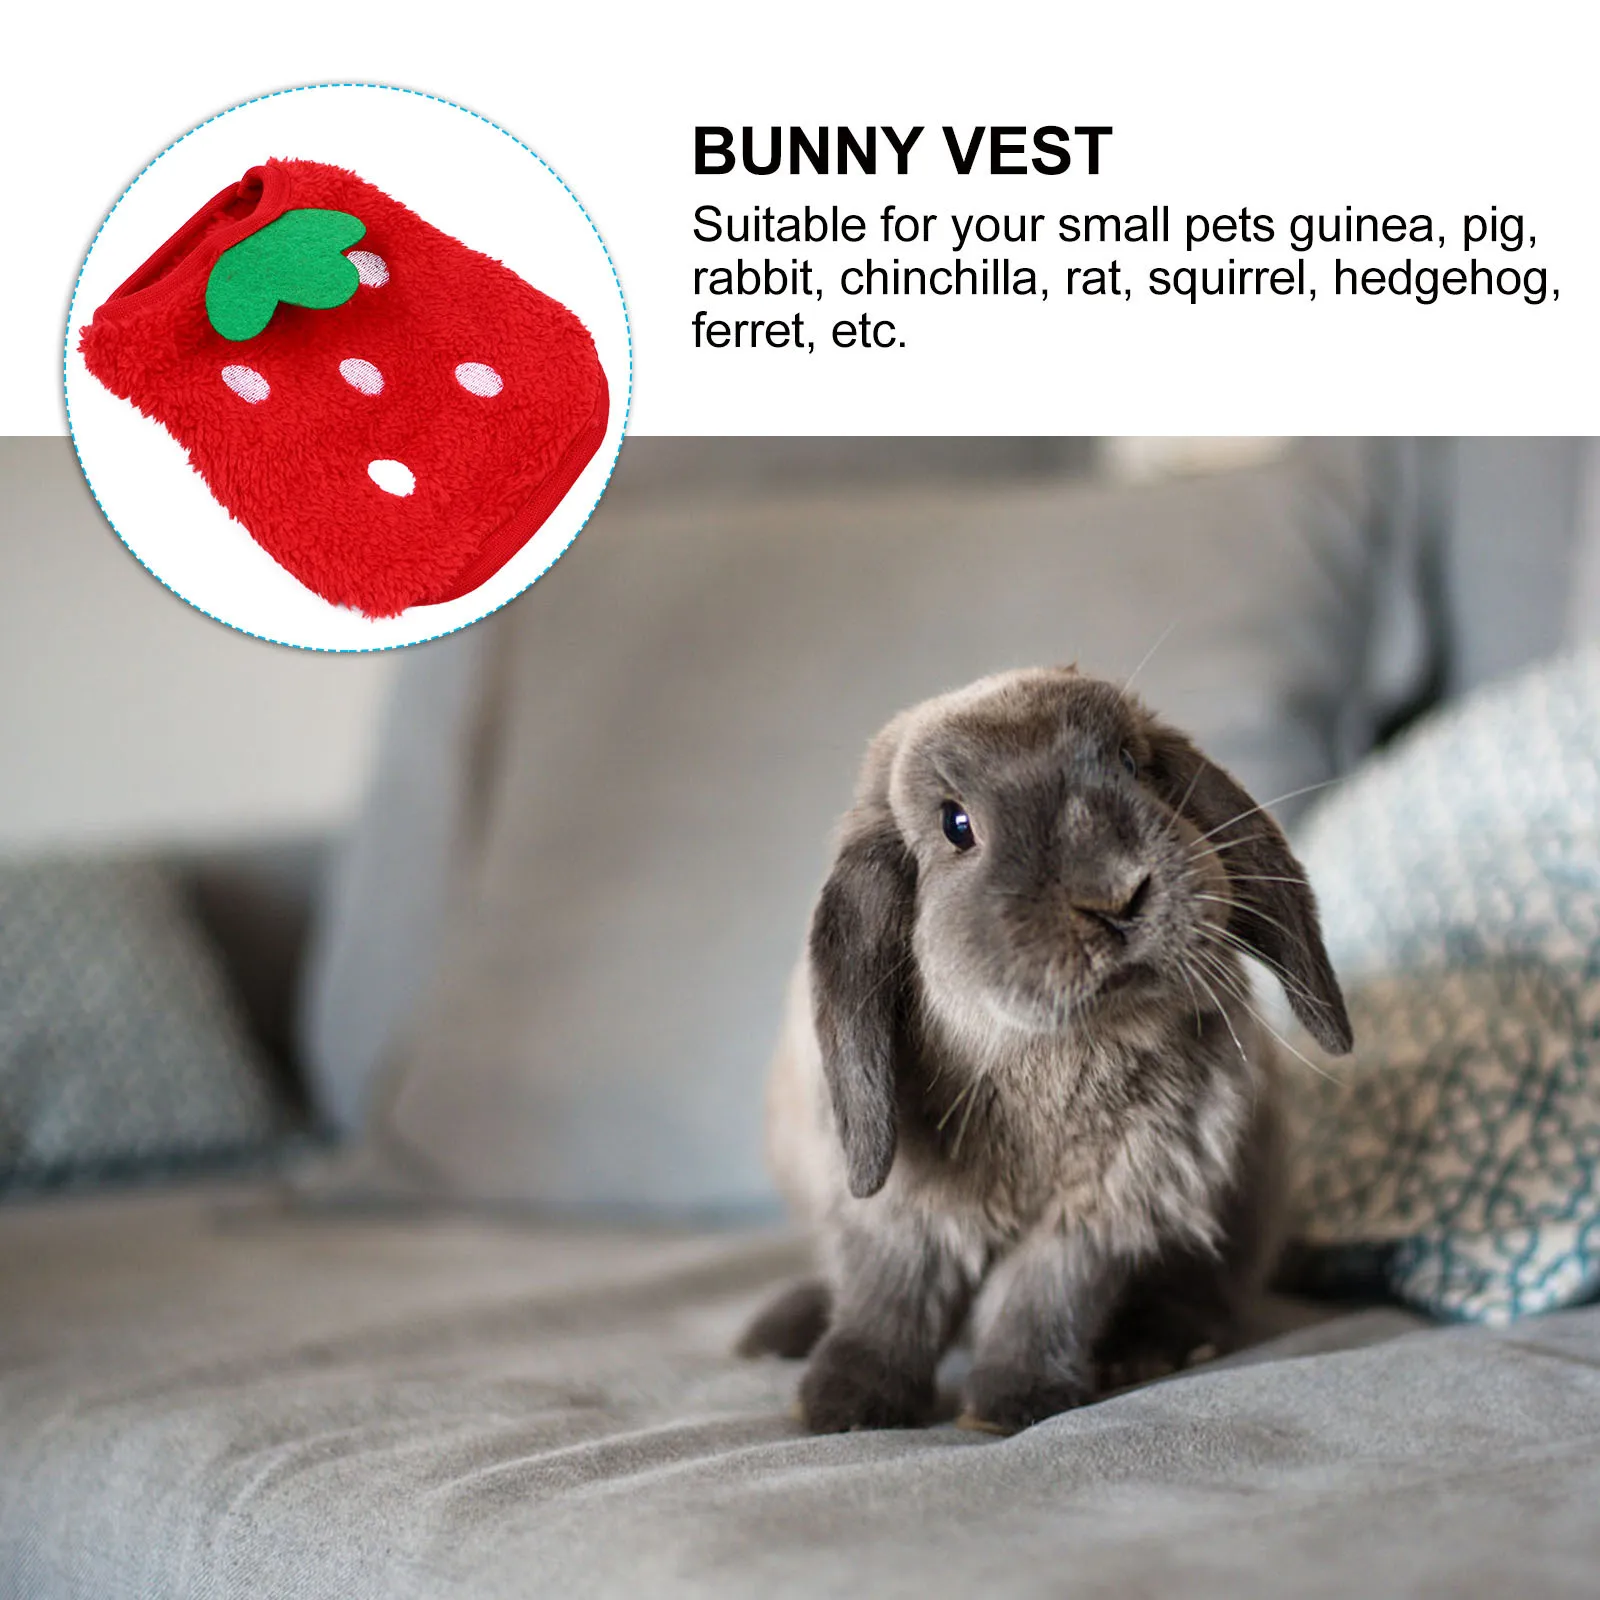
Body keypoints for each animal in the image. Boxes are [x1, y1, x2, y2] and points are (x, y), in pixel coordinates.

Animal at [737, 665, 1352, 1435]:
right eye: (956, 825)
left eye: (1131, 764)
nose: (1116, 894)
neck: (1051, 1054)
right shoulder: (898, 1210)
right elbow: (889, 1297)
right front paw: (842, 1405)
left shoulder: (1102, 1210)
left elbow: (1041, 1299)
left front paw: (1013, 1405)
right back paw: (778, 1331)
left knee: (1207, 1293)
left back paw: (1152, 1348)